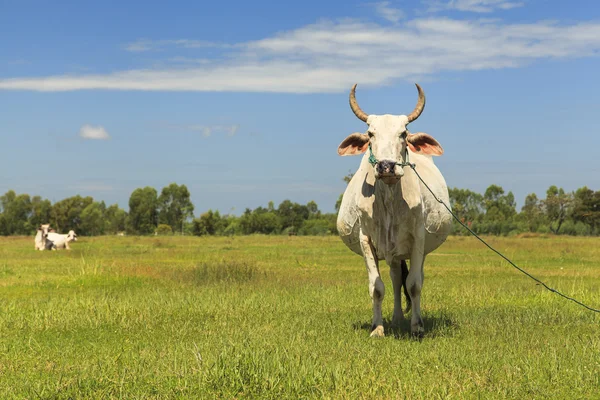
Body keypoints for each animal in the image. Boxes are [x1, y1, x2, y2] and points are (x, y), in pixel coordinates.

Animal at [338, 83, 450, 338]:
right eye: (370, 134)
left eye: (404, 134)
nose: (386, 166)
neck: (389, 199)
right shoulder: (366, 240)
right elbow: (377, 288)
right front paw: (377, 328)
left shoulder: (418, 239)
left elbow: (415, 284)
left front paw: (417, 327)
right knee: (396, 277)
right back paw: (397, 318)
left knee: (409, 278)